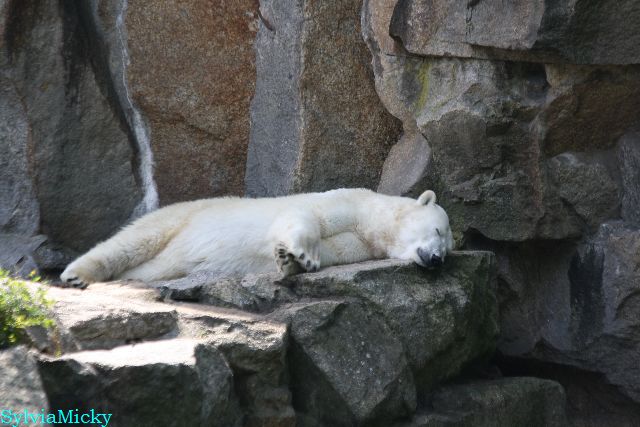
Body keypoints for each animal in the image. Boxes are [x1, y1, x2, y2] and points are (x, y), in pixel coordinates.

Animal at [60, 188, 453, 287]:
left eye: (449, 251)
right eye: (437, 229)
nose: (436, 259)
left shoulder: (357, 245)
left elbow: (332, 250)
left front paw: (288, 262)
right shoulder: (347, 203)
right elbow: (306, 217)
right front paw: (300, 254)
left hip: (167, 260)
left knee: (153, 267)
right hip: (180, 217)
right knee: (133, 242)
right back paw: (77, 274)